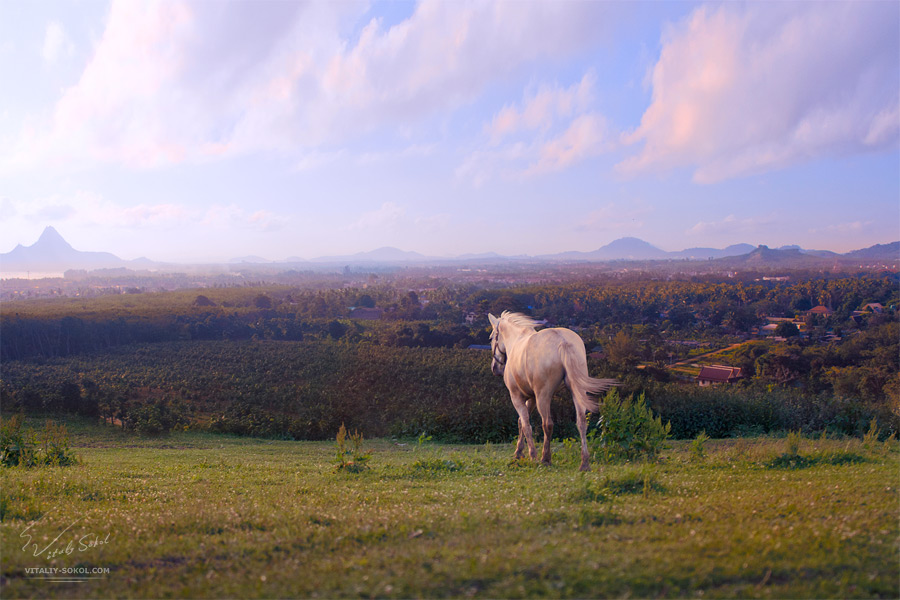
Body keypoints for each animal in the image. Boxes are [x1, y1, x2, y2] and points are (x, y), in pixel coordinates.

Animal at [488, 312, 616, 472]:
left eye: (491, 338)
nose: (495, 369)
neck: (516, 340)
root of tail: (562, 341)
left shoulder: (517, 397)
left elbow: (526, 425)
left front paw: (531, 455)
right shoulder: (532, 398)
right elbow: (521, 422)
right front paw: (518, 453)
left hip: (544, 396)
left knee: (547, 424)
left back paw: (545, 459)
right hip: (577, 391)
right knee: (581, 422)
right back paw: (584, 463)